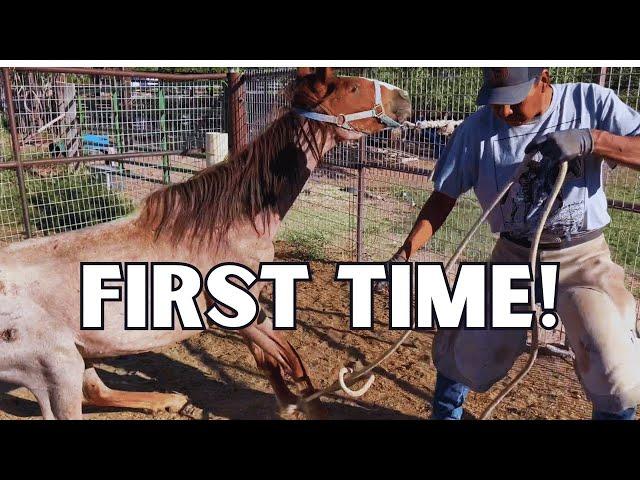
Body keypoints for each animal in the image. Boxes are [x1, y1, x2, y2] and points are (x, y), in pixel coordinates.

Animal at [0, 65, 410, 418]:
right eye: (352, 88)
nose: (403, 99)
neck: (229, 225)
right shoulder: (237, 310)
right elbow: (292, 361)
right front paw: (307, 407)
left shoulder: (251, 307)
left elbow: (271, 362)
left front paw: (288, 405)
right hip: (58, 369)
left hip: (83, 356)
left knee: (97, 391)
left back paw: (168, 400)